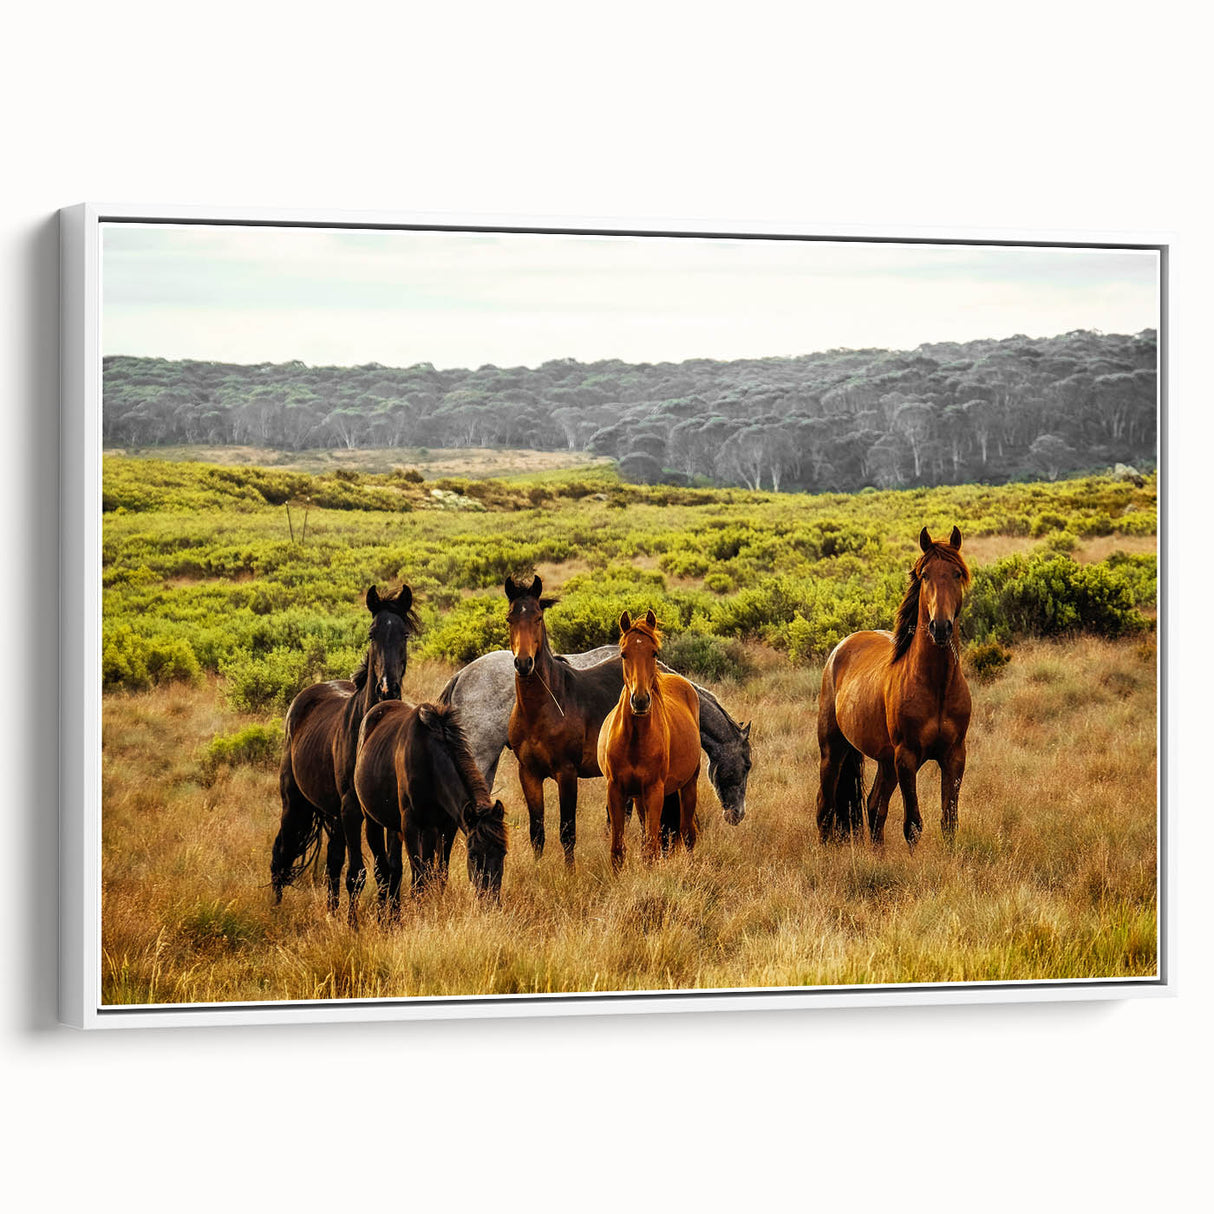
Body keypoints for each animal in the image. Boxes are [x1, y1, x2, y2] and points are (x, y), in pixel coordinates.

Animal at [270, 584, 420, 918]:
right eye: (372, 633)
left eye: (404, 634)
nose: (387, 688)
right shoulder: (352, 809)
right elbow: (358, 873)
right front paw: (354, 925)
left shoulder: (385, 814)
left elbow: (390, 869)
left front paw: (391, 919)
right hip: (296, 804)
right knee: (281, 854)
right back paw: (275, 910)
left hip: (333, 815)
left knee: (332, 863)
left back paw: (331, 911)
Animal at [354, 701, 508, 905]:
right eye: (473, 855)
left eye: (503, 852)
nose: (490, 901)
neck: (430, 762)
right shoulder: (410, 825)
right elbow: (419, 879)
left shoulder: (446, 826)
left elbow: (439, 873)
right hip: (373, 821)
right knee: (382, 869)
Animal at [504, 574, 624, 864]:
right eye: (509, 618)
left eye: (538, 617)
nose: (523, 663)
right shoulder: (529, 774)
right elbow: (537, 832)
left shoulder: (567, 773)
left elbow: (567, 832)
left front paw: (570, 873)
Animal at [598, 610, 702, 870]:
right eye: (623, 653)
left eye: (653, 652)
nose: (641, 700)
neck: (634, 739)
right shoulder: (616, 790)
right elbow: (618, 850)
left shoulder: (655, 791)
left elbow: (651, 850)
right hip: (638, 797)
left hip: (689, 785)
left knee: (688, 833)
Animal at [815, 526, 972, 850]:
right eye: (925, 575)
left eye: (956, 573)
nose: (940, 627)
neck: (936, 686)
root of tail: (841, 647)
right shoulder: (907, 758)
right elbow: (913, 825)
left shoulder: (954, 756)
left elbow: (949, 821)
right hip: (833, 750)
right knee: (825, 806)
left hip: (885, 761)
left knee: (875, 806)